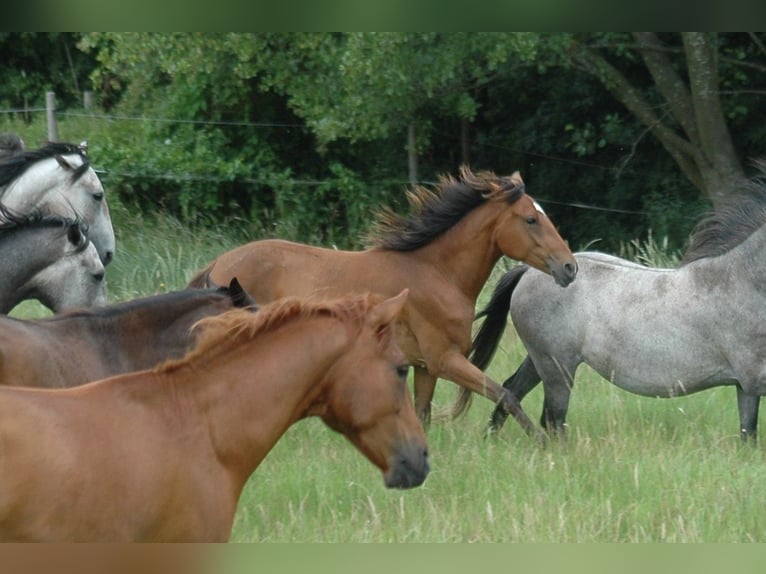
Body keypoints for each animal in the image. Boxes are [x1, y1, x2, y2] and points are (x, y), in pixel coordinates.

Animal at [188, 166, 576, 437]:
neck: (437, 273)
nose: (569, 267)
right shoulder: (445, 360)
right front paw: (542, 441)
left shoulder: (425, 368)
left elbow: (423, 415)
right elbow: (505, 394)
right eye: (531, 219)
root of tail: (218, 265)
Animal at [473, 169, 766, 441]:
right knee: (552, 418)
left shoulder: (745, 386)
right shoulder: (753, 380)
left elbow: (748, 434)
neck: (741, 281)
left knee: (511, 392)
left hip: (541, 360)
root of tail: (529, 271)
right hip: (557, 366)